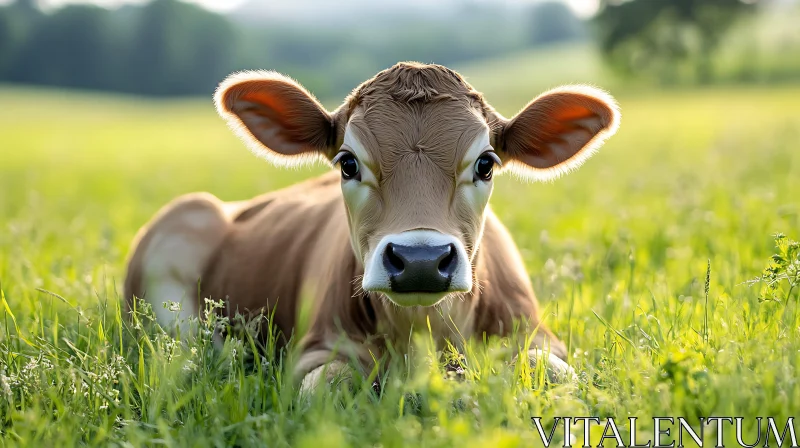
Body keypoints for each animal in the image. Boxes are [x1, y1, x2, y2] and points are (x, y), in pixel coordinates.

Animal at [123, 61, 620, 390]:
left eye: (486, 163)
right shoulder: (315, 349)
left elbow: (553, 374)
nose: (421, 260)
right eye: (348, 163)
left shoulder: (538, 336)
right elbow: (329, 385)